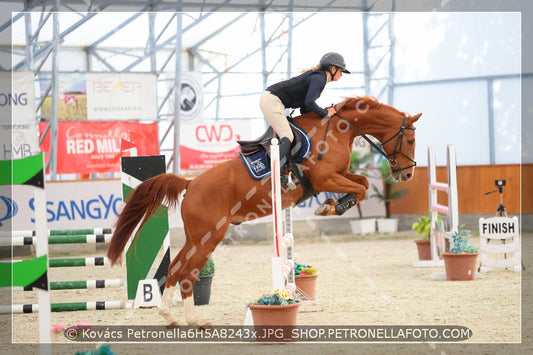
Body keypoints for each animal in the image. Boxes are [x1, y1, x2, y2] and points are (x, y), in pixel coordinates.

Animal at [107, 96, 420, 328]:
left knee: (174, 267)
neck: (338, 129)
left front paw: (332, 205)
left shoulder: (339, 175)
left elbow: (363, 183)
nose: (406, 174)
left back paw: (170, 317)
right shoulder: (326, 179)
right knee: (187, 271)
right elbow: (361, 189)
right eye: (410, 141)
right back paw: (194, 319)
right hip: (209, 236)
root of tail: (191, 183)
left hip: (197, 236)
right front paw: (334, 206)